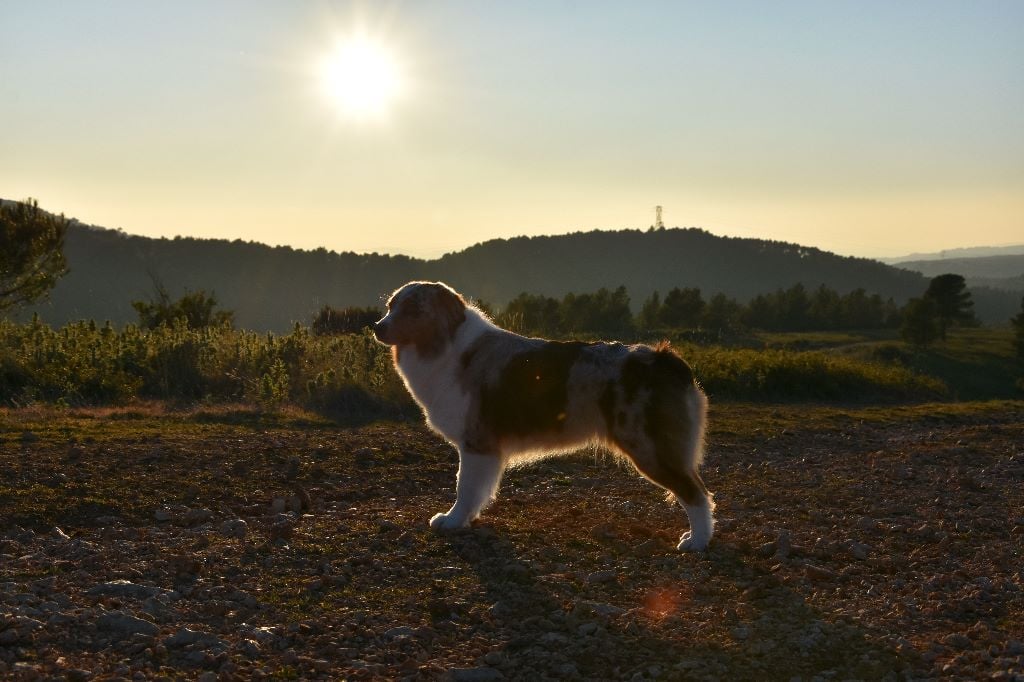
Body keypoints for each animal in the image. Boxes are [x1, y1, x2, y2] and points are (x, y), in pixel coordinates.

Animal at [372, 278, 716, 548]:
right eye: (390, 306)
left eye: (413, 310)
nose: (377, 327)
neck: (448, 347)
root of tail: (665, 359)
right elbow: (476, 490)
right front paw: (466, 518)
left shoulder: (476, 443)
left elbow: (464, 486)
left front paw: (453, 521)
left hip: (649, 447)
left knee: (696, 493)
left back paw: (697, 542)